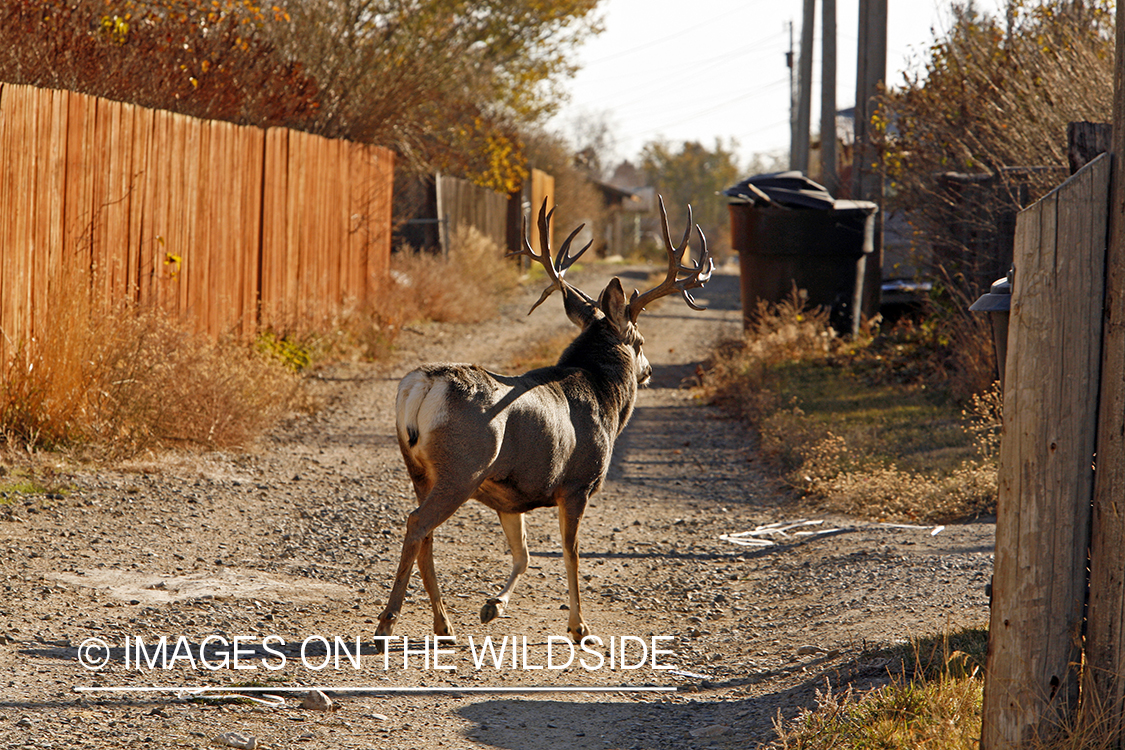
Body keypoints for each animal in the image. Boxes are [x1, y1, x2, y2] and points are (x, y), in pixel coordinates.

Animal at [377, 197, 712, 644]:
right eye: (640, 341)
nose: (649, 371)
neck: (605, 399)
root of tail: (422, 384)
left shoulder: (509, 494)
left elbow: (523, 553)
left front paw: (493, 606)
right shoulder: (578, 484)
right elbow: (571, 553)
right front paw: (579, 627)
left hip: (420, 469)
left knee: (425, 533)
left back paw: (444, 624)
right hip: (462, 467)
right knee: (417, 524)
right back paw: (387, 622)